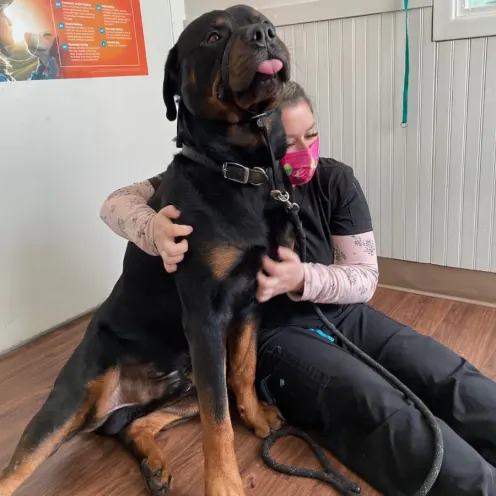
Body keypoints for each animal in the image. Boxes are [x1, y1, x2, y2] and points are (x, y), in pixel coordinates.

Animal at [0, 3, 292, 496]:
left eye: (261, 19)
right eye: (213, 36)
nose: (265, 33)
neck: (240, 171)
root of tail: (123, 399)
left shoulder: (252, 302)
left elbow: (245, 372)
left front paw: (255, 417)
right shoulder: (205, 316)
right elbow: (219, 425)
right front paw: (225, 485)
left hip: (187, 382)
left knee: (138, 424)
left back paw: (153, 465)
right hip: (71, 401)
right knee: (18, 467)